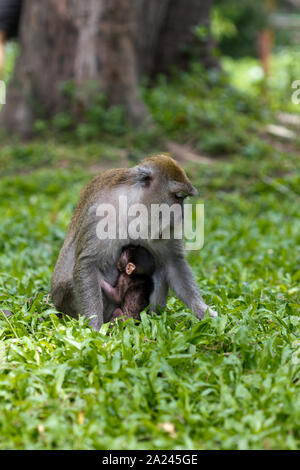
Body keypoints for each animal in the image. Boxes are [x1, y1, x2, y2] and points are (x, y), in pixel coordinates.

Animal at [50, 156, 217, 328]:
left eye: (183, 198)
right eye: (177, 196)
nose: (181, 215)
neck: (135, 208)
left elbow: (172, 262)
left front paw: (204, 312)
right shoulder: (99, 214)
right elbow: (88, 264)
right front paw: (94, 327)